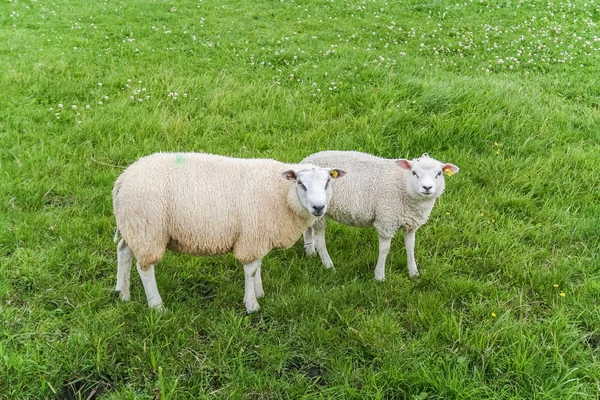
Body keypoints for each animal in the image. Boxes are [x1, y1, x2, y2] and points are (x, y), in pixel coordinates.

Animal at [113, 152, 346, 312]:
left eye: (327, 182)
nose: (318, 208)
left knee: (123, 251)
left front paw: (259, 292)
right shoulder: (252, 234)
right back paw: (156, 306)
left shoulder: (257, 234)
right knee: (144, 268)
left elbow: (258, 265)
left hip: (132, 226)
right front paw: (251, 304)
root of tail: (122, 178)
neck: (282, 194)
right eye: (300, 183)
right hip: (147, 228)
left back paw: (122, 294)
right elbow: (250, 269)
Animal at [300, 151, 460, 282]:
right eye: (414, 173)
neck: (403, 184)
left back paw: (310, 252)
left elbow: (410, 247)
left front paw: (413, 273)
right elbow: (384, 250)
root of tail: (304, 162)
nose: (427, 188)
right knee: (320, 240)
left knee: (307, 228)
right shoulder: (386, 221)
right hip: (320, 212)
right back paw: (328, 265)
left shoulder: (410, 224)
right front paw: (379, 276)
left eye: (439, 174)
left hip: (309, 207)